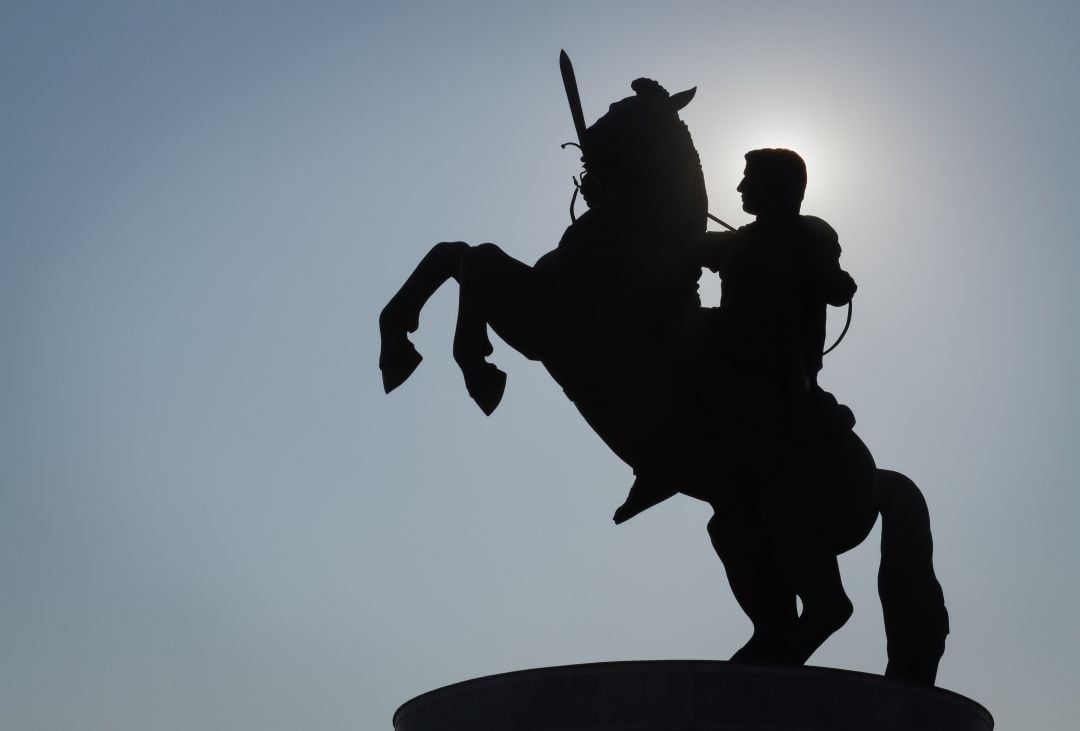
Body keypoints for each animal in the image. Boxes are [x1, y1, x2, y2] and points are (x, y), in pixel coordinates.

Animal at [378, 65, 946, 682]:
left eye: (625, 113)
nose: (588, 161)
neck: (635, 240)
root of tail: (875, 476)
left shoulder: (544, 321)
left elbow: (474, 259)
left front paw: (478, 369)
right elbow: (451, 252)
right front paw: (397, 347)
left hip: (794, 530)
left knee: (829, 606)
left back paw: (773, 662)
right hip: (742, 524)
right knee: (776, 598)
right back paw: (755, 656)